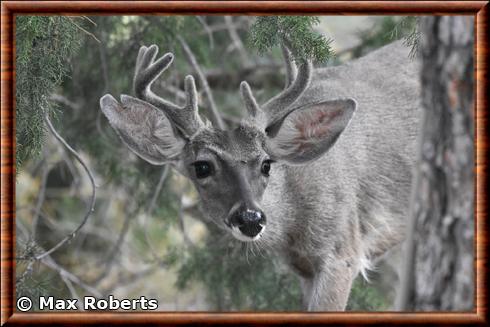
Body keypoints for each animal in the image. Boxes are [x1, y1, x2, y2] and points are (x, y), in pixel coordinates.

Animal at [100, 39, 422, 312]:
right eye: (202, 166)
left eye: (267, 163)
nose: (251, 218)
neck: (293, 226)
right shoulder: (304, 269)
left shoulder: (342, 251)